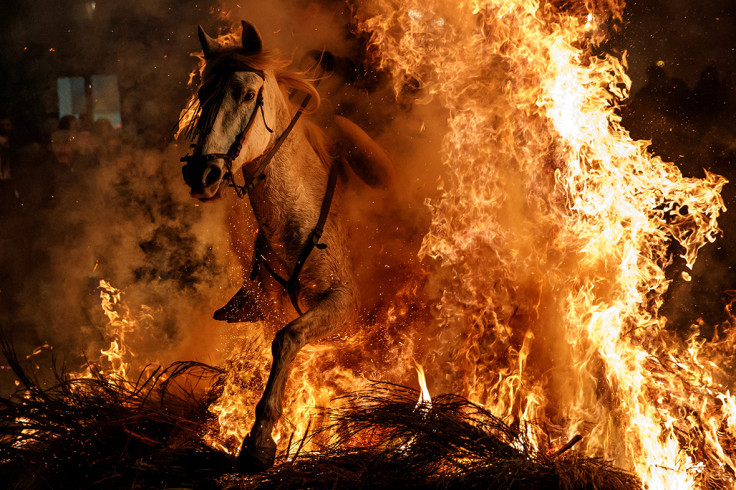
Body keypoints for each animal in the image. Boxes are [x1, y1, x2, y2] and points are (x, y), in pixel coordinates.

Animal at [180, 22, 394, 470]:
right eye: (202, 95)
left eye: (247, 94)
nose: (201, 174)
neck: (301, 221)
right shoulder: (269, 312)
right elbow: (278, 353)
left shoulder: (344, 307)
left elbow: (288, 340)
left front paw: (259, 440)